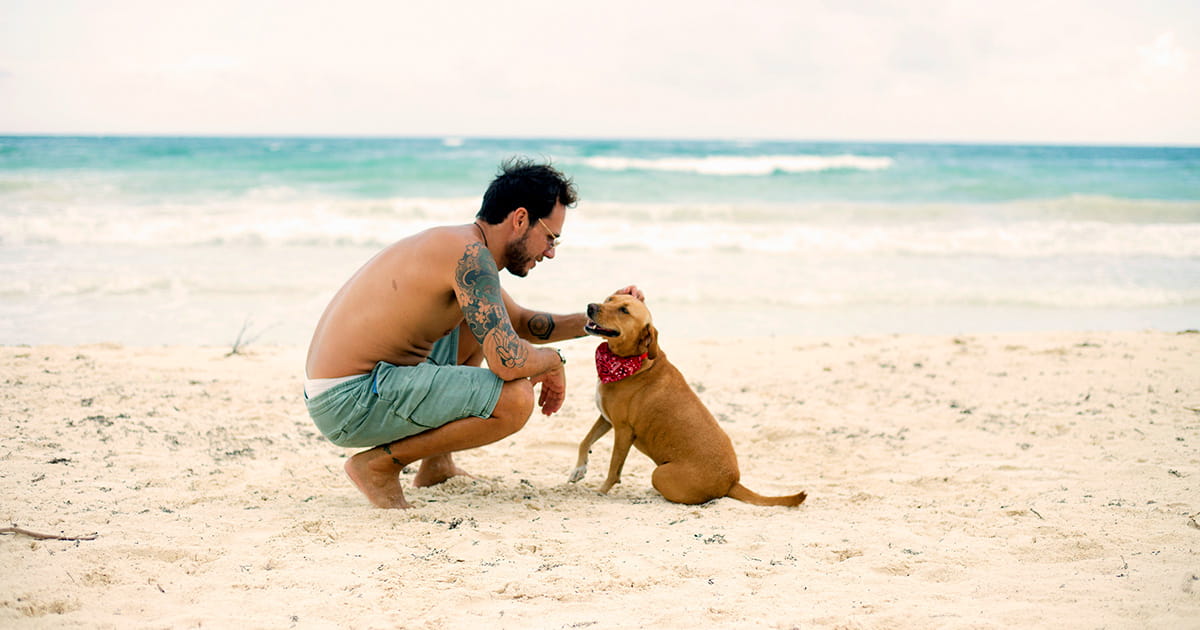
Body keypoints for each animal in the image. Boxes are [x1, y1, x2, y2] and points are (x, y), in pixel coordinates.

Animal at [568, 291, 806, 506]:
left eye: (624, 310)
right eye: (610, 299)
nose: (590, 306)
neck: (631, 362)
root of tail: (732, 482)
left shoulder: (623, 430)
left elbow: (614, 468)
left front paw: (601, 492)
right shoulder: (606, 418)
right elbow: (585, 440)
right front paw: (579, 469)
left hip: (660, 474)